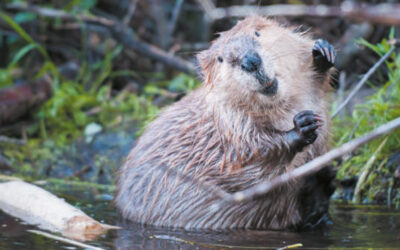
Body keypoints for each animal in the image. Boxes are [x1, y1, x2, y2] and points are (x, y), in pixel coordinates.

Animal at [116, 16, 338, 230]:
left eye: (257, 33)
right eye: (220, 59)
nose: (251, 61)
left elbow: (317, 83)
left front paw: (322, 52)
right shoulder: (229, 122)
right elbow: (249, 160)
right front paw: (302, 126)